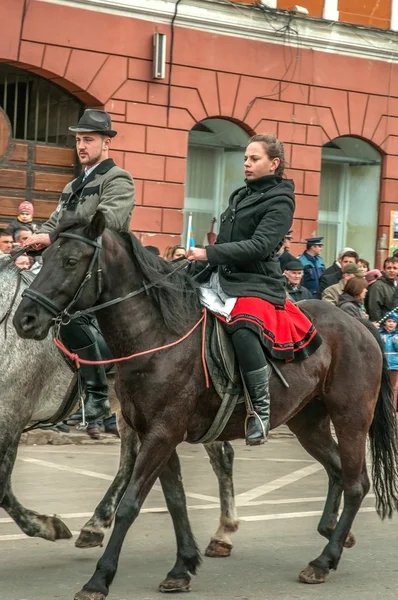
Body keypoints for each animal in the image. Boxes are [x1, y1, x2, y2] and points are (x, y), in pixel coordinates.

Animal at [0, 256, 239, 564]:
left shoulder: (11, 416)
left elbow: (2, 488)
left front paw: (48, 526)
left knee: (222, 457)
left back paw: (224, 534)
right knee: (129, 462)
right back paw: (95, 526)